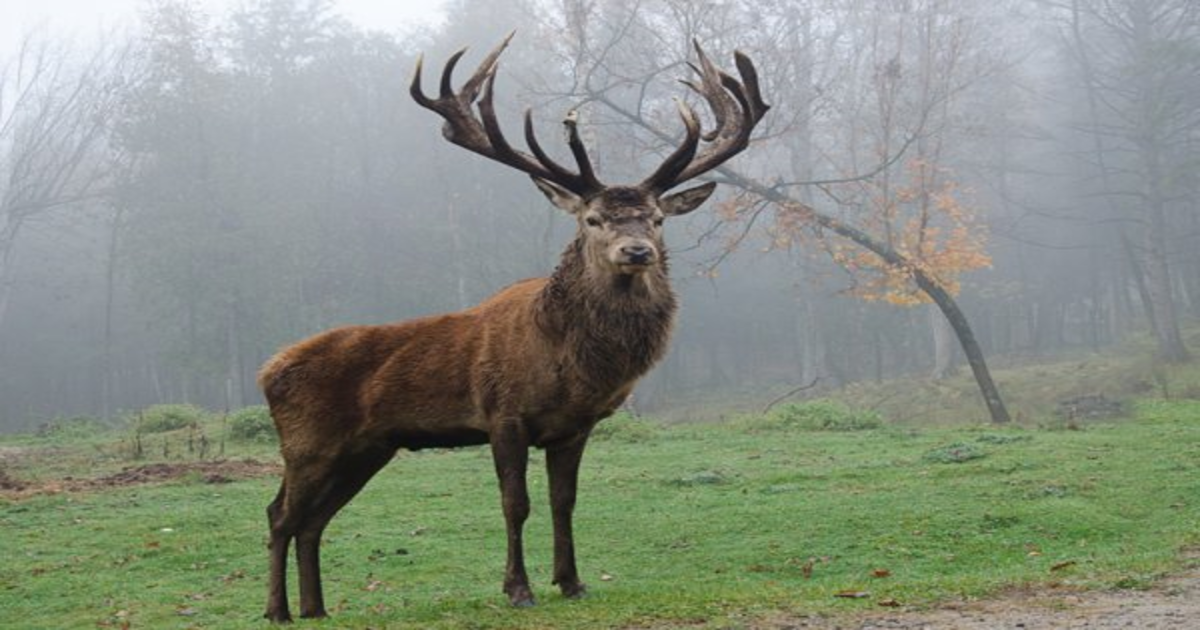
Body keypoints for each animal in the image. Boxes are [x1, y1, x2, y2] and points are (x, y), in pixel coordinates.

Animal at [258, 33, 767, 623]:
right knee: (279, 513)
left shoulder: (575, 426)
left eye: (658, 219)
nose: (636, 251)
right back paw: (277, 610)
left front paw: (571, 581)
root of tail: (266, 371)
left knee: (313, 520)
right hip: (307, 442)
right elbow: (514, 503)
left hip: (366, 449)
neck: (569, 362)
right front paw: (518, 589)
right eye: (592, 219)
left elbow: (564, 501)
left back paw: (315, 609)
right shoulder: (503, 414)